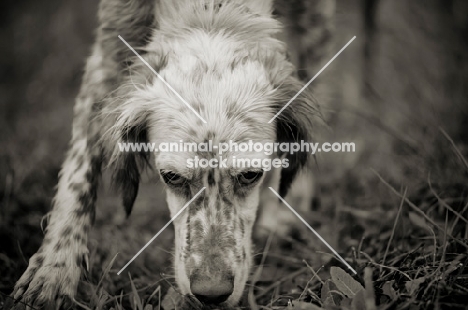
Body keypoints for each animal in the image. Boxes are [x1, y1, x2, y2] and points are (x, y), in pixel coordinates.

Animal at [10, 0, 332, 308]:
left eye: (251, 175)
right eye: (171, 177)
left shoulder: (313, 17)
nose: (211, 293)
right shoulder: (106, 55)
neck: (210, 10)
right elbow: (78, 174)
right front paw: (54, 268)